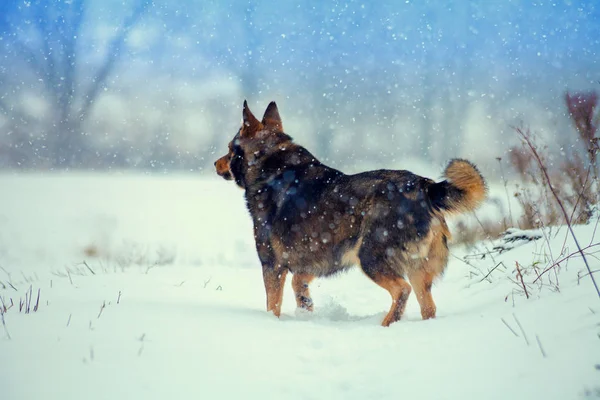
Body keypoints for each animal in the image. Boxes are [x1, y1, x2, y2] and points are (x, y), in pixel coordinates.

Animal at [216, 101, 488, 326]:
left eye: (229, 148)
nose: (215, 163)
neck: (270, 167)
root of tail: (425, 186)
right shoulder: (317, 259)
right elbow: (299, 287)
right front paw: (306, 312)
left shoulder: (272, 264)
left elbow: (272, 304)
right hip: (418, 271)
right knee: (428, 307)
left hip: (371, 257)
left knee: (402, 290)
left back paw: (386, 324)